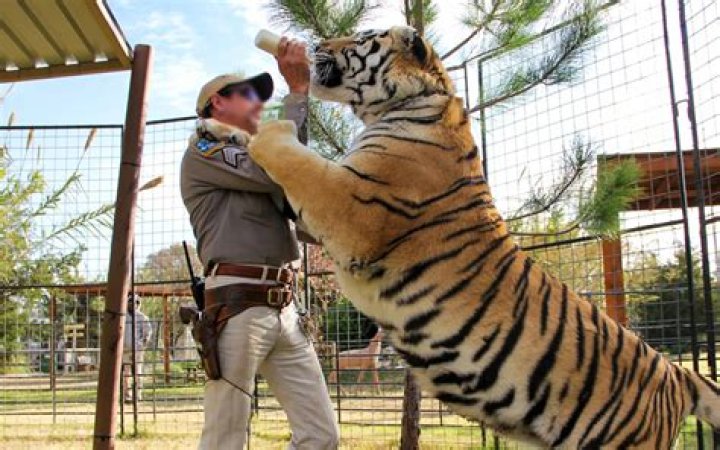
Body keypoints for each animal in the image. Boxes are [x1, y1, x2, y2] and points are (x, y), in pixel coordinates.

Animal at [240, 26, 720, 448]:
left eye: (360, 38)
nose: (318, 44)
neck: (407, 103)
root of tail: (676, 373)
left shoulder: (351, 205)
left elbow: (295, 159)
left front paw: (259, 127)